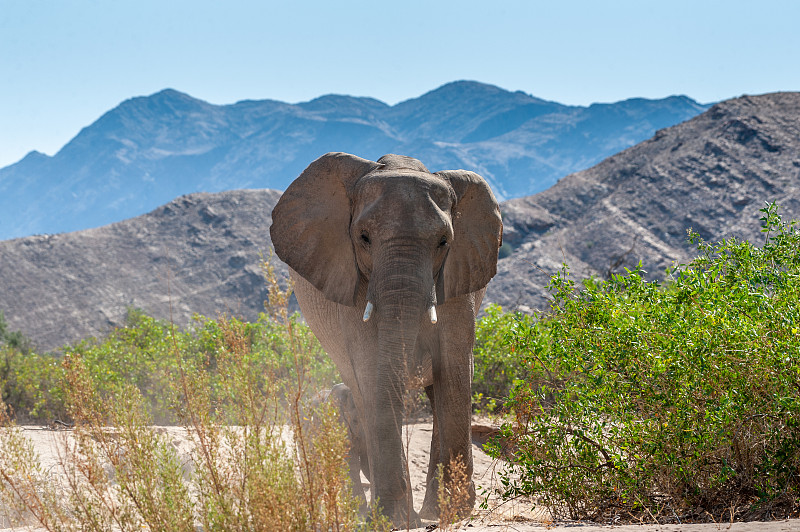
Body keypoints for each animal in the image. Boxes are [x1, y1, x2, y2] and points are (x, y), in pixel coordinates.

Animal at [272, 153, 504, 524]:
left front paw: (455, 514)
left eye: (444, 241)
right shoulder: (350, 280)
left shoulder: (459, 274)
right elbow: (371, 368)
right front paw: (394, 520)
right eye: (364, 237)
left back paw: (432, 511)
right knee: (362, 389)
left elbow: (453, 368)